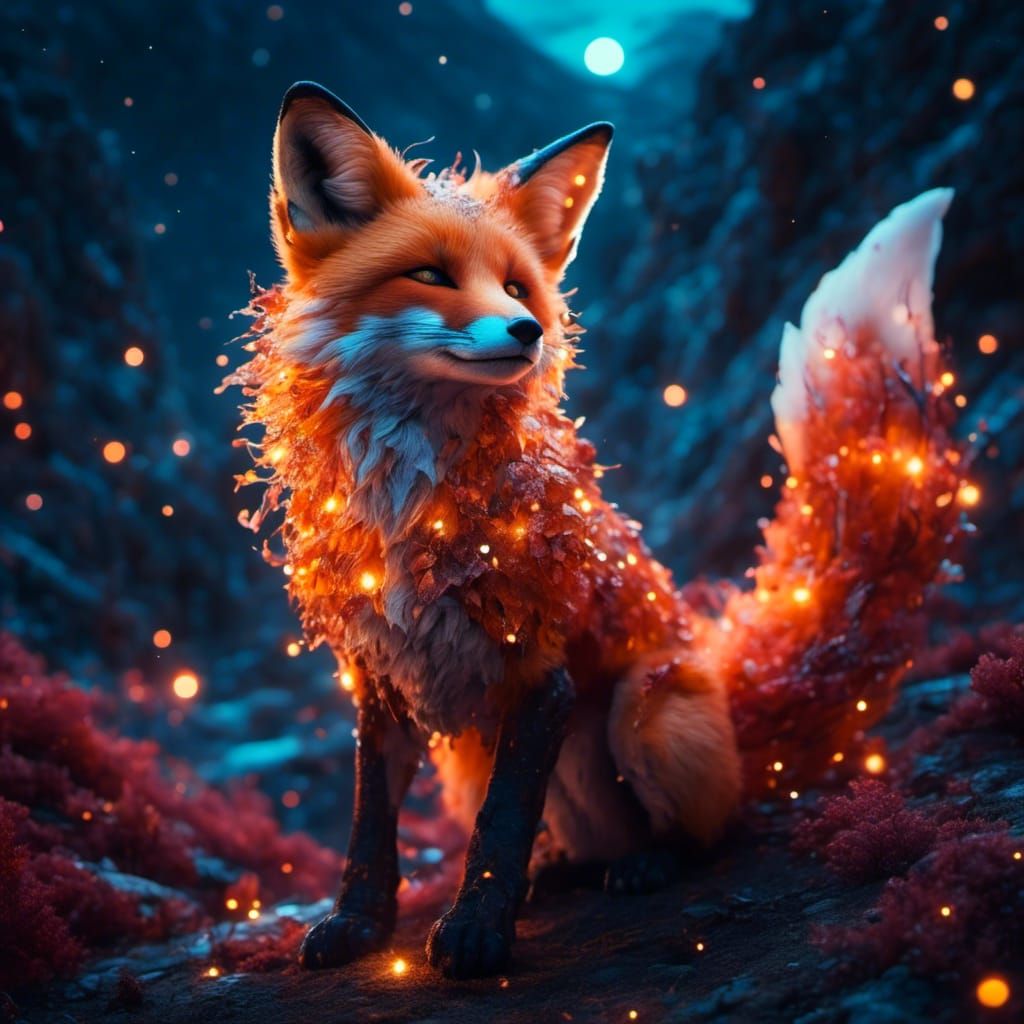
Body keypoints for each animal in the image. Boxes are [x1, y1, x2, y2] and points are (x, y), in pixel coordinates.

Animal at [230, 81, 961, 979]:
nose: (528, 331)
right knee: (571, 841)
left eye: (517, 288)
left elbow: (500, 828)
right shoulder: (380, 678)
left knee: (717, 829)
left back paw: (648, 862)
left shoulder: (540, 666)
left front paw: (477, 932)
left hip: (644, 713)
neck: (415, 501)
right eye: (430, 275)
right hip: (472, 756)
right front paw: (358, 925)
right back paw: (559, 871)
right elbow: (372, 830)